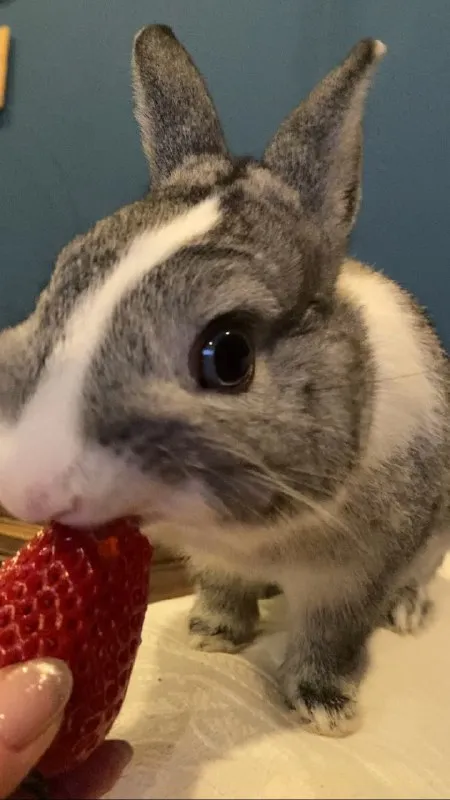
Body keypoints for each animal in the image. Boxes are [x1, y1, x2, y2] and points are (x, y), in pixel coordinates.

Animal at [0, 25, 448, 737]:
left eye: (229, 354)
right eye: (63, 284)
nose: (26, 487)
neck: (255, 535)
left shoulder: (352, 579)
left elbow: (330, 637)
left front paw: (325, 709)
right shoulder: (214, 560)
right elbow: (224, 588)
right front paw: (213, 634)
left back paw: (407, 612)